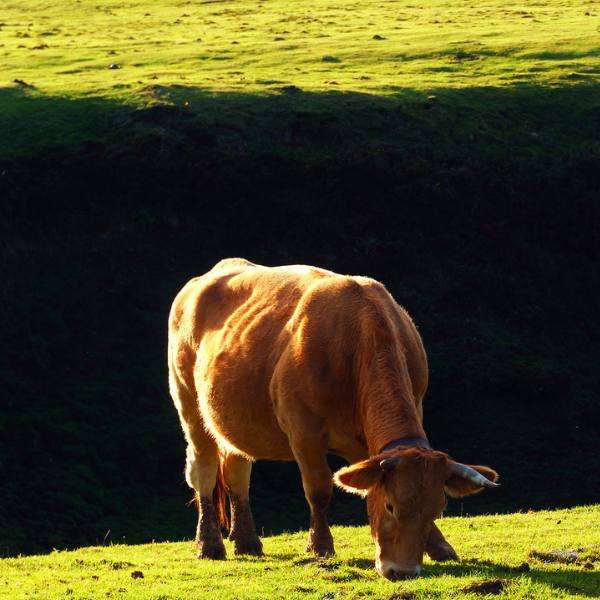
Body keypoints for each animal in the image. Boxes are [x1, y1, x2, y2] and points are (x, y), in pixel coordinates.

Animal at [166, 260, 500, 580]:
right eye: (390, 506)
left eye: (437, 510)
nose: (402, 571)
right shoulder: (303, 431)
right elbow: (319, 488)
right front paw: (320, 546)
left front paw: (441, 546)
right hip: (188, 403)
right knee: (203, 470)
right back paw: (210, 544)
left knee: (237, 470)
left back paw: (247, 542)